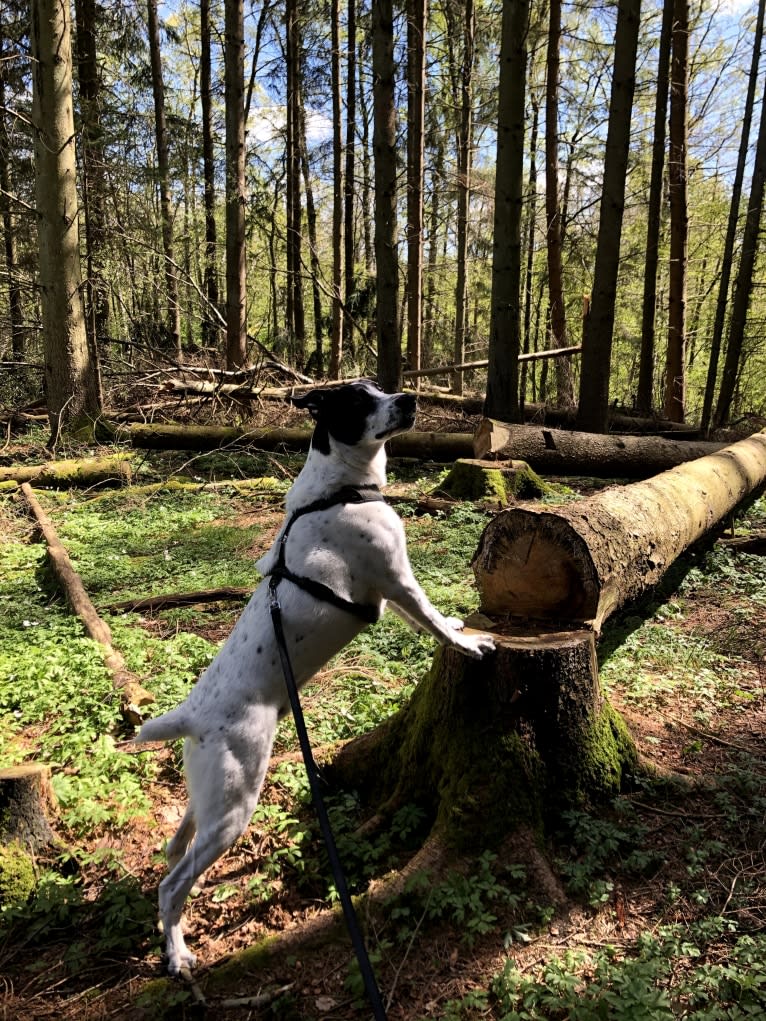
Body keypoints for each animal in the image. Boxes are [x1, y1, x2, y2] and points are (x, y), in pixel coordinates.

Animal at [136, 377, 498, 971]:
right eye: (357, 401)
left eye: (379, 386)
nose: (410, 399)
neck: (341, 489)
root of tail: (191, 715)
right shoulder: (396, 580)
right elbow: (430, 620)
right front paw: (467, 644)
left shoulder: (391, 589)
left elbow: (432, 619)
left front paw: (457, 624)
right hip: (237, 804)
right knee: (172, 884)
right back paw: (178, 954)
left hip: (211, 792)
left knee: (178, 842)